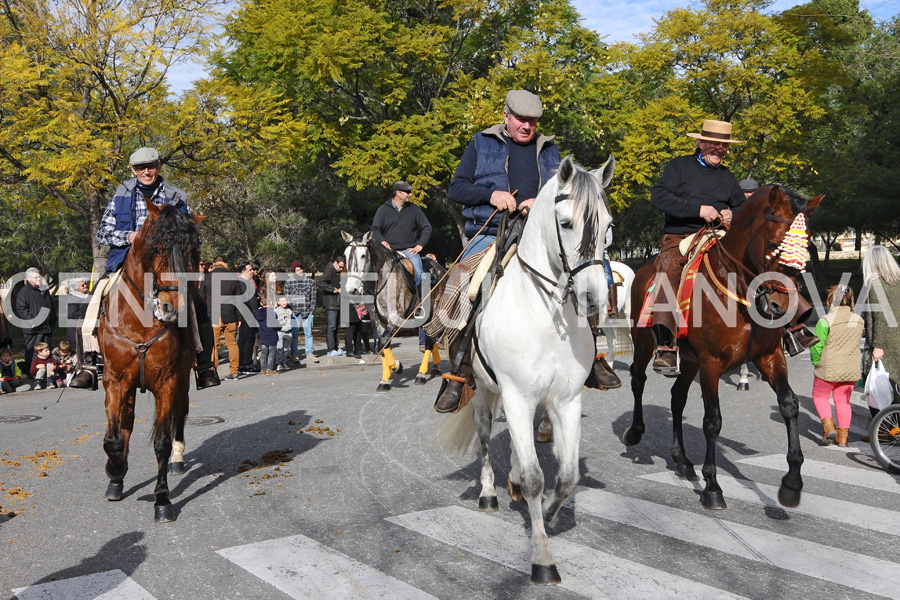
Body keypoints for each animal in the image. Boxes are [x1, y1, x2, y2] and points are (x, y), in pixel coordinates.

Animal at [98, 200, 204, 520]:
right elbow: (114, 438)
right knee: (127, 423)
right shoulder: (115, 382)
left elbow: (162, 443)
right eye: (157, 248)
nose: (172, 307)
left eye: (192, 250)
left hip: (182, 381)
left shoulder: (167, 382)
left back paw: (179, 459)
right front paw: (116, 471)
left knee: (180, 416)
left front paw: (162, 500)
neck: (140, 321)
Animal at [342, 229, 446, 390]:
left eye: (363, 255)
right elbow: (383, 345)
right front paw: (385, 380)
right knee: (431, 338)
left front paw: (397, 367)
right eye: (346, 255)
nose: (351, 289)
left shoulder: (395, 318)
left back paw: (421, 374)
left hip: (434, 314)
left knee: (429, 340)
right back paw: (435, 368)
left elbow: (384, 341)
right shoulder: (377, 321)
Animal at [434, 155, 612, 584]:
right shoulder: (516, 396)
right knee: (485, 437)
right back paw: (489, 493)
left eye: (608, 225)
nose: (593, 299)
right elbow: (535, 478)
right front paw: (542, 557)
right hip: (485, 393)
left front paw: (547, 512)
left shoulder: (565, 401)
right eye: (566, 222)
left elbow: (566, 478)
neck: (546, 315)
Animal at [624, 186, 824, 510]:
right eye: (773, 244)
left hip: (689, 361)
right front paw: (712, 486)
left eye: (805, 248)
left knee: (677, 397)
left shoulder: (769, 356)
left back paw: (682, 460)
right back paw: (635, 432)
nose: (783, 306)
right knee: (638, 380)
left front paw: (792, 482)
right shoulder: (711, 363)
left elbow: (789, 406)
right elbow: (712, 421)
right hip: (644, 344)